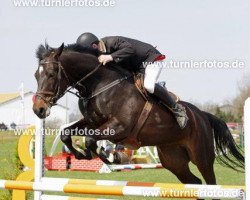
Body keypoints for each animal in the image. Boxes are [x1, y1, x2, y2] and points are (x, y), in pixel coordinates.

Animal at [32, 42, 243, 197]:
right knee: (195, 183)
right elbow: (66, 133)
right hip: (173, 160)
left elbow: (91, 139)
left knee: (210, 183)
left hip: (202, 157)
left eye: (51, 74)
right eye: (36, 75)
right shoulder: (92, 122)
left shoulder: (119, 127)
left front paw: (106, 157)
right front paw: (82, 155)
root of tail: (203, 115)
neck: (100, 84)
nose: (38, 109)